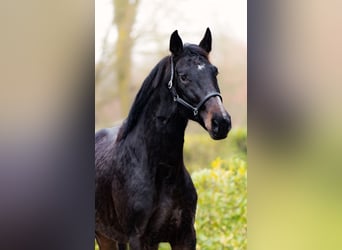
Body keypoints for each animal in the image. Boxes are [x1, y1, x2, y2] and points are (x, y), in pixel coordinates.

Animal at [95, 28, 231, 249]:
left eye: (215, 72)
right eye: (183, 76)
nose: (221, 122)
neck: (161, 171)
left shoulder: (185, 235)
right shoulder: (138, 238)